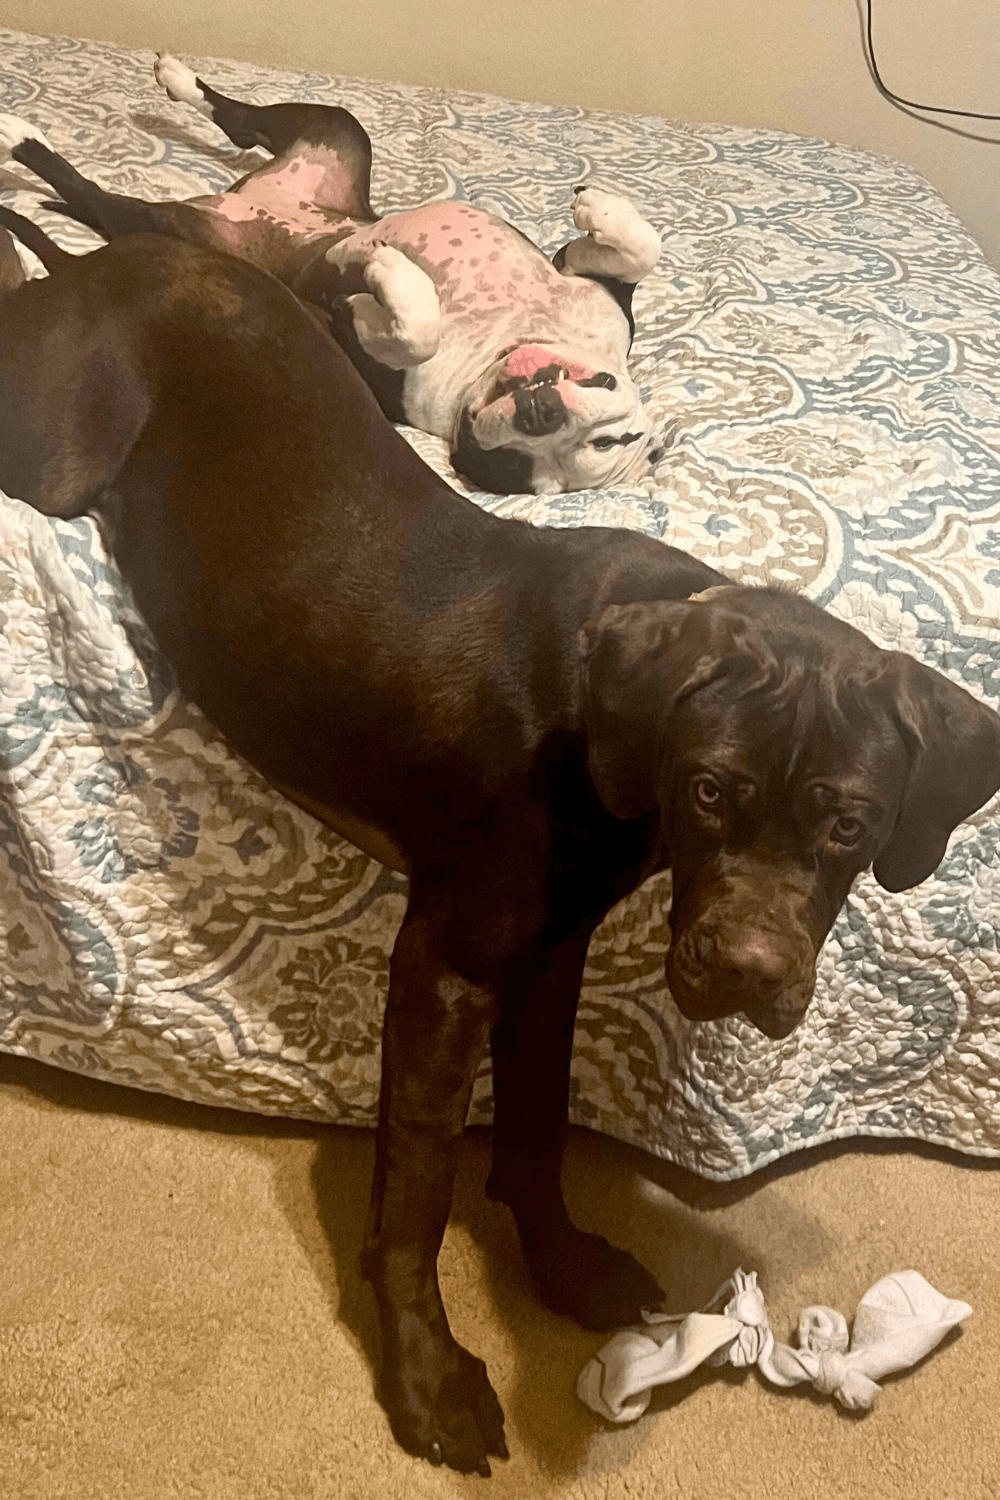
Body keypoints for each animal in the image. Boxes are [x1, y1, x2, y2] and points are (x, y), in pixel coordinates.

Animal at [0, 54, 666, 497]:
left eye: (520, 470)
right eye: (609, 437)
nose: (541, 415)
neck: (496, 350)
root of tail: (242, 200)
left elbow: (411, 329)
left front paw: (381, 273)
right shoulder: (589, 286)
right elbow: (641, 249)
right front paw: (598, 207)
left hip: (165, 227)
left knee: (94, 194)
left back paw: (24, 140)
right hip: (337, 128)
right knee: (242, 121)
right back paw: (170, 82)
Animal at [1, 218, 998, 1475]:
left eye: (849, 826)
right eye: (710, 790)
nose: (745, 974)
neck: (609, 725)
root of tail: (107, 257)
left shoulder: (551, 954)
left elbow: (532, 1125)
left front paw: (560, 1265)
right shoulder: (448, 969)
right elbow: (417, 1188)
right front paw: (426, 1372)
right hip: (47, 456)